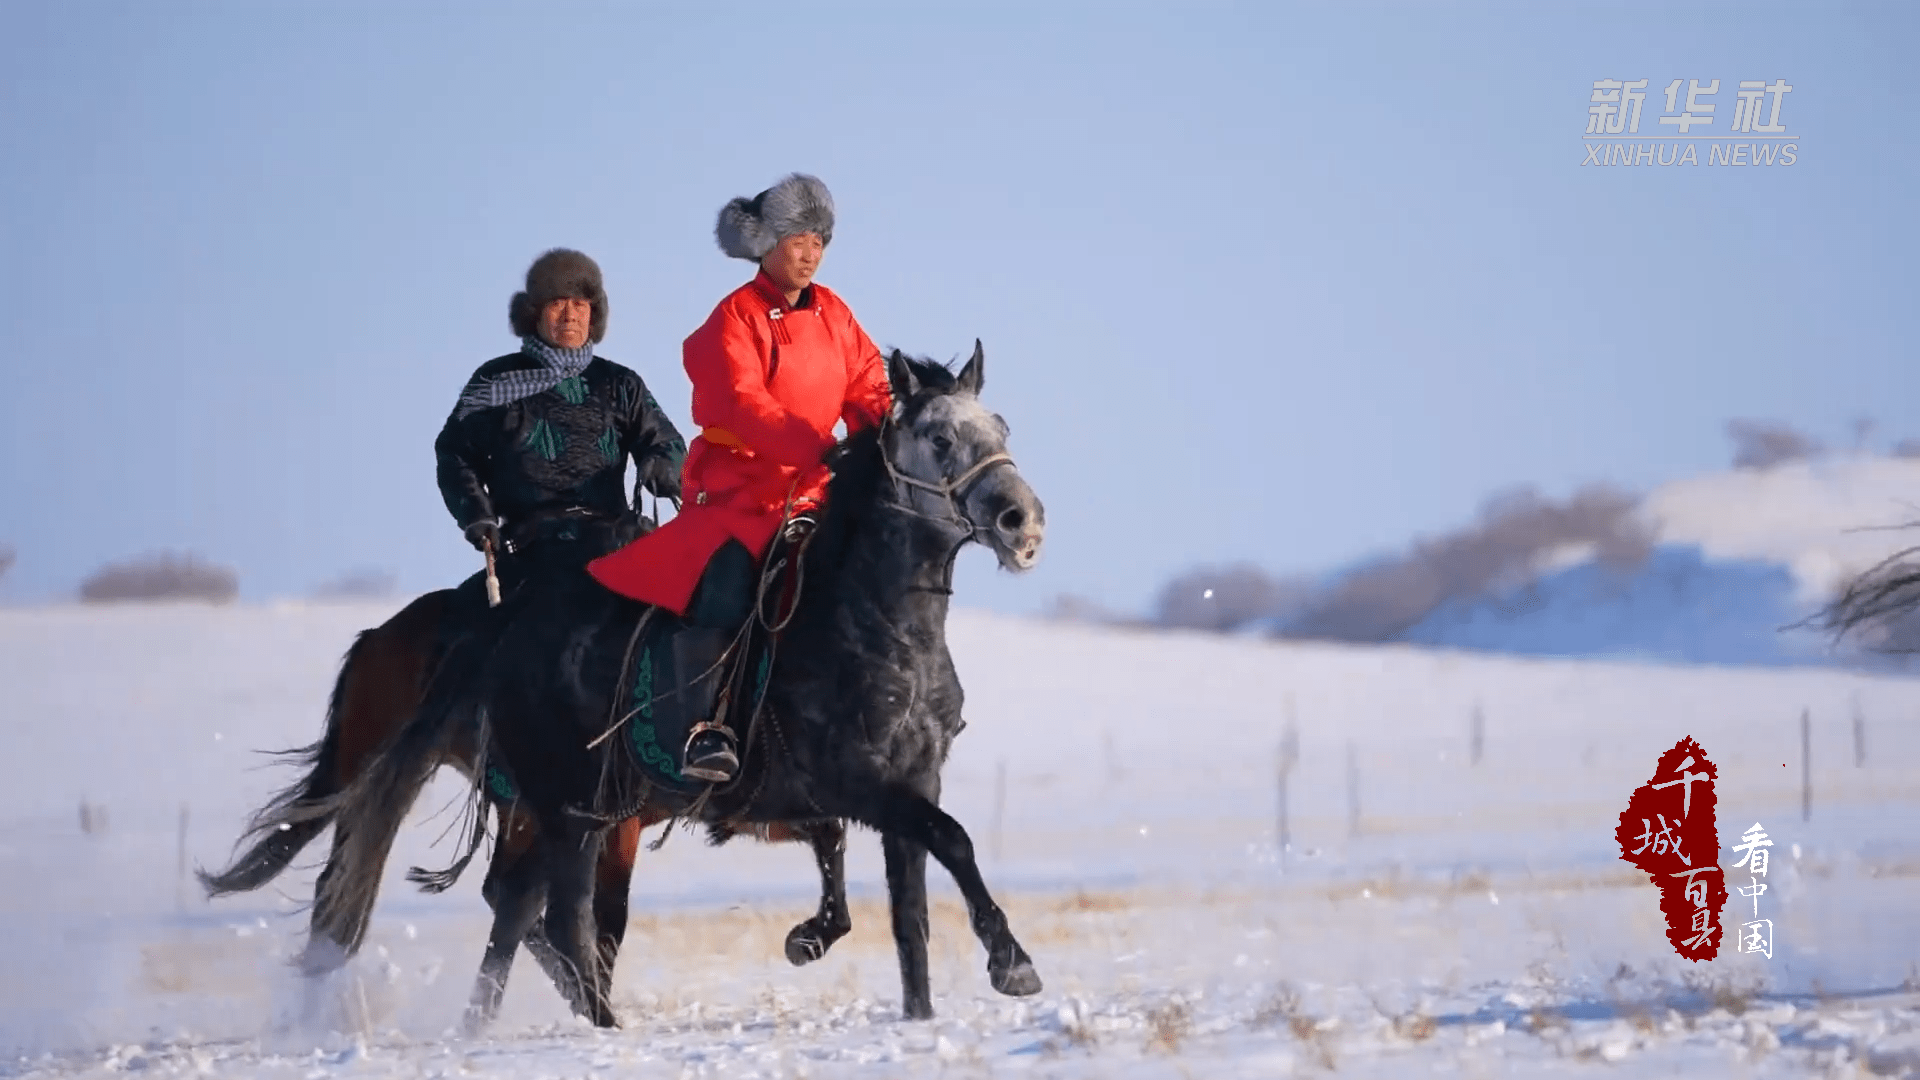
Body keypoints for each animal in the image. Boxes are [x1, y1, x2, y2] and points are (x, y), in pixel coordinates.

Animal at [311, 343, 1052, 1022]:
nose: (1023, 521)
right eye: (940, 437)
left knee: (525, 905)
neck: (866, 619)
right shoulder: (858, 784)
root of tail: (506, 626)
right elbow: (950, 839)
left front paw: (912, 1005)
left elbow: (910, 918)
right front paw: (1012, 964)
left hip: (577, 810)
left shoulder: (909, 781)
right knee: (553, 917)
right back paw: (599, 1029)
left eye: (1002, 428)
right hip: (570, 806)